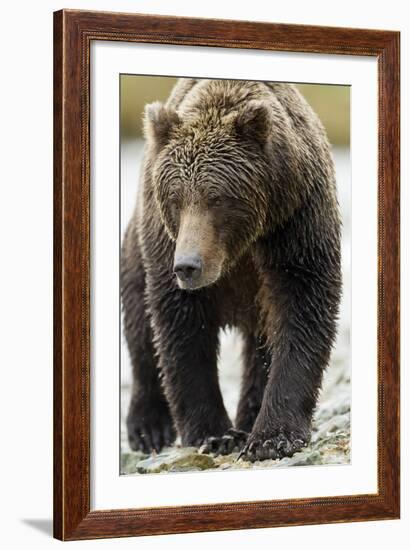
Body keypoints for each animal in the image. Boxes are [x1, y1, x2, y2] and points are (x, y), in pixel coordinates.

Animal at [121, 78, 342, 462]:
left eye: (216, 197)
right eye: (175, 199)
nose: (187, 265)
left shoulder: (296, 223)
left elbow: (303, 310)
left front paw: (273, 436)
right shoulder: (165, 245)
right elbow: (182, 329)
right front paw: (213, 434)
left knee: (261, 347)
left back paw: (249, 418)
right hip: (136, 249)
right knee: (141, 328)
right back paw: (149, 428)